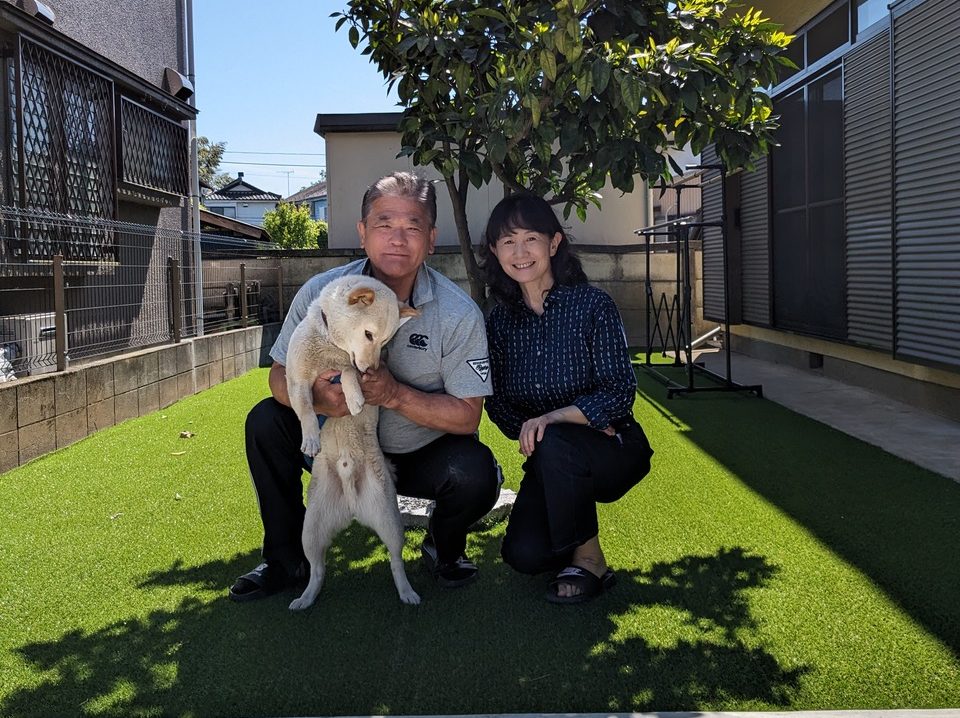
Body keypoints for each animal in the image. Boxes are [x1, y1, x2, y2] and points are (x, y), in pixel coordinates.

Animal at [284, 272, 420, 612]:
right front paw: (310, 439)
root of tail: (351, 505)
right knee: (318, 569)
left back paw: (407, 592)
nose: (371, 369)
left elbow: (347, 371)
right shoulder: (297, 379)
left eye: (385, 342)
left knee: (396, 560)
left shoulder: (351, 367)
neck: (331, 348)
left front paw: (355, 397)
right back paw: (306, 597)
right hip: (310, 530)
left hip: (390, 521)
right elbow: (306, 409)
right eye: (369, 334)